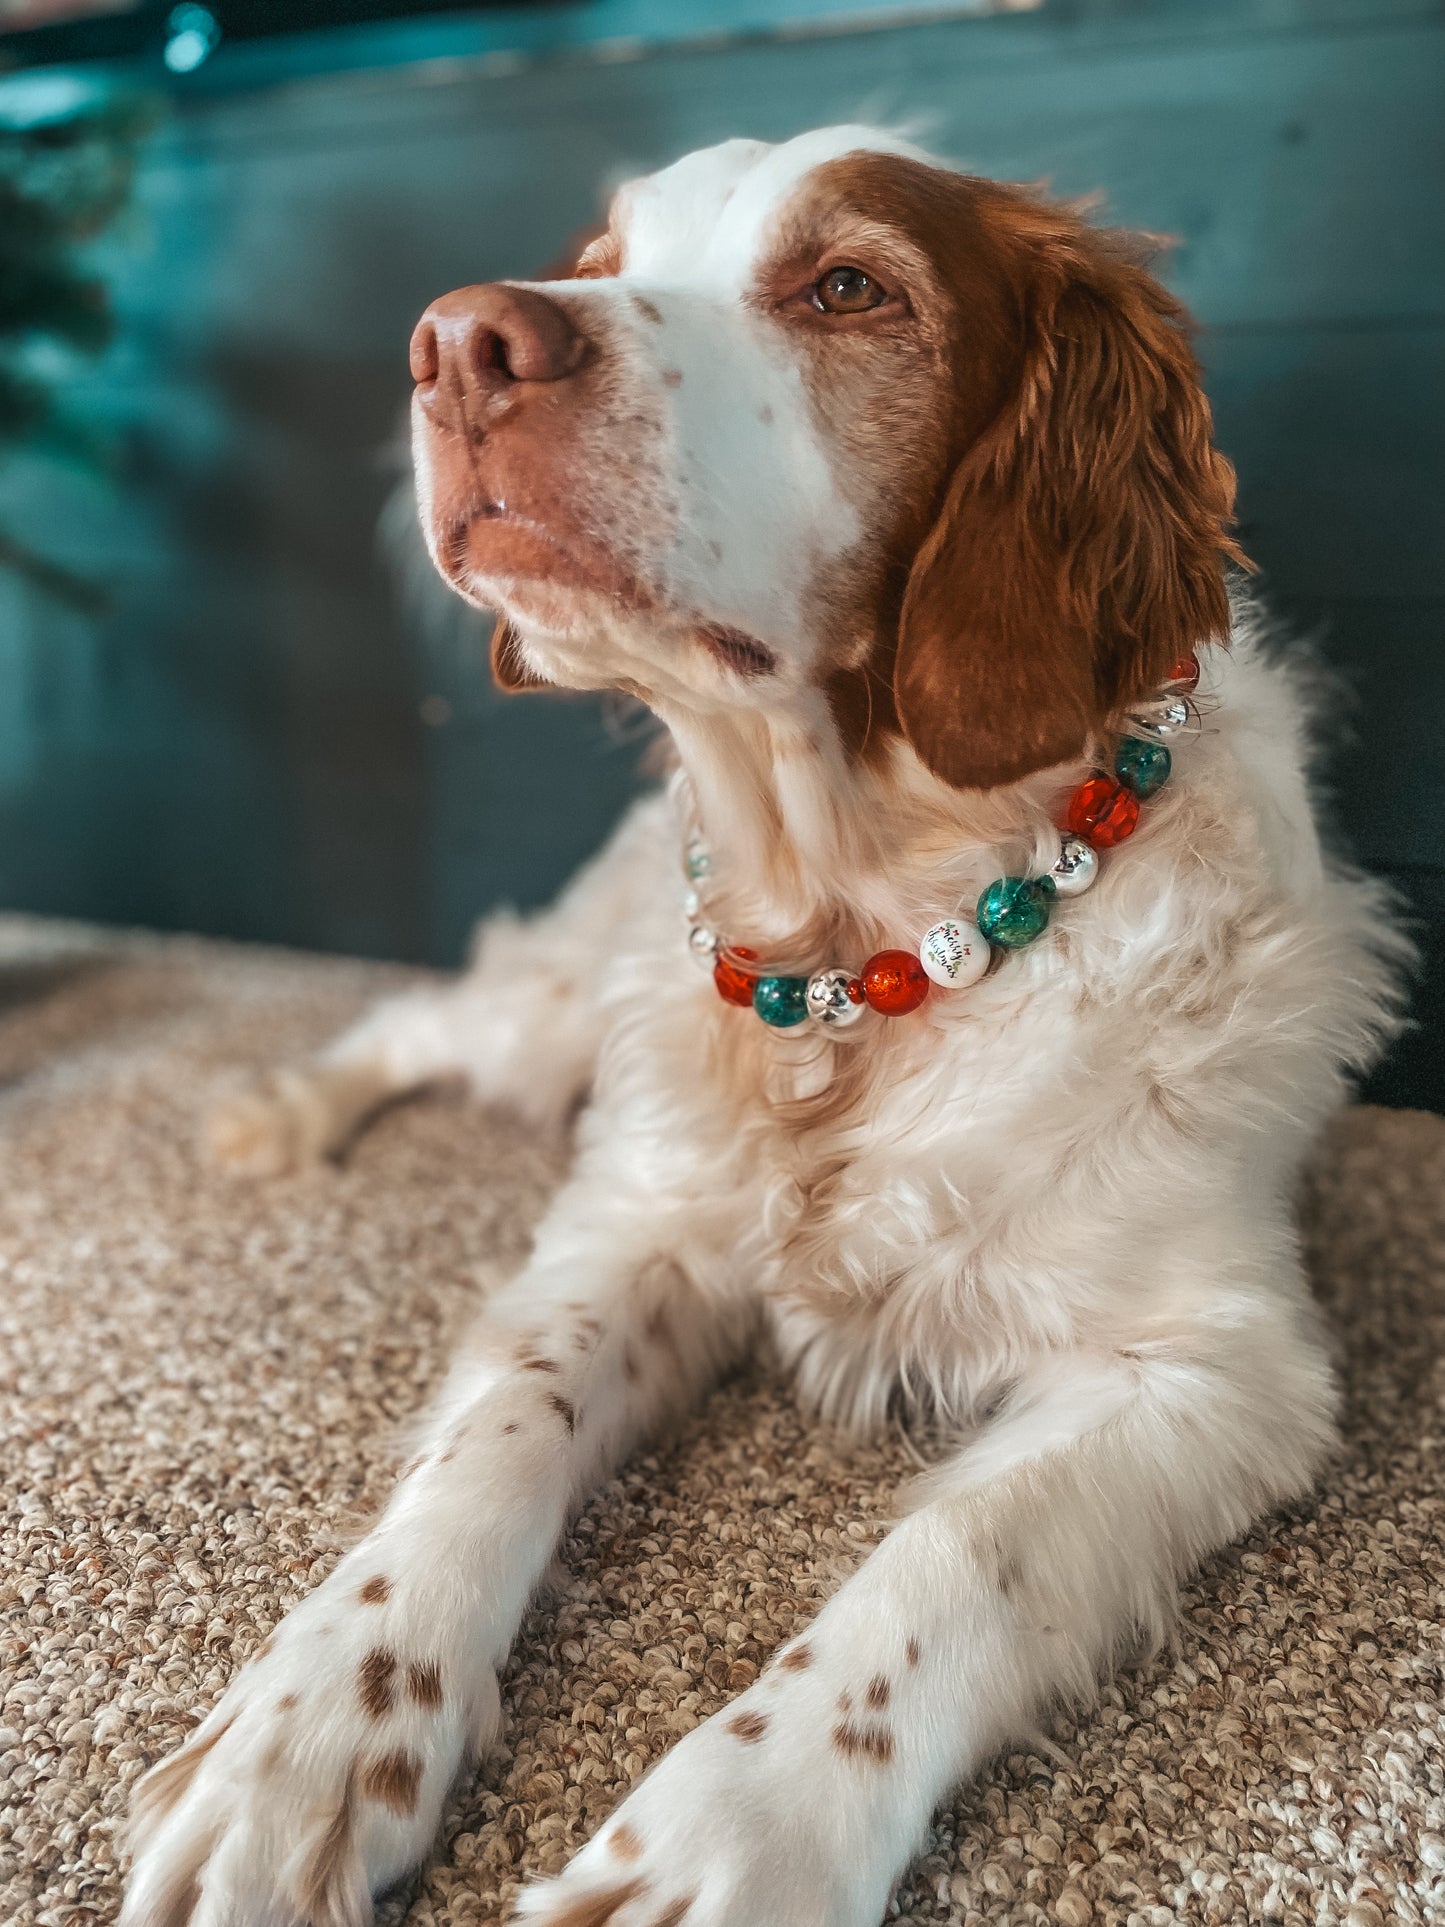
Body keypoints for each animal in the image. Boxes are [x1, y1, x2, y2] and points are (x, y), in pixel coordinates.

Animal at [118, 124, 1410, 1927]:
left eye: (850, 286)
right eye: (600, 258)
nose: (457, 343)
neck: (865, 949)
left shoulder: (1217, 1365)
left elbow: (955, 1548)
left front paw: (729, 1829)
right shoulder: (632, 1221)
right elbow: (495, 1431)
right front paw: (303, 1733)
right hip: (550, 1012)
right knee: (425, 1019)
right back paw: (279, 1112)